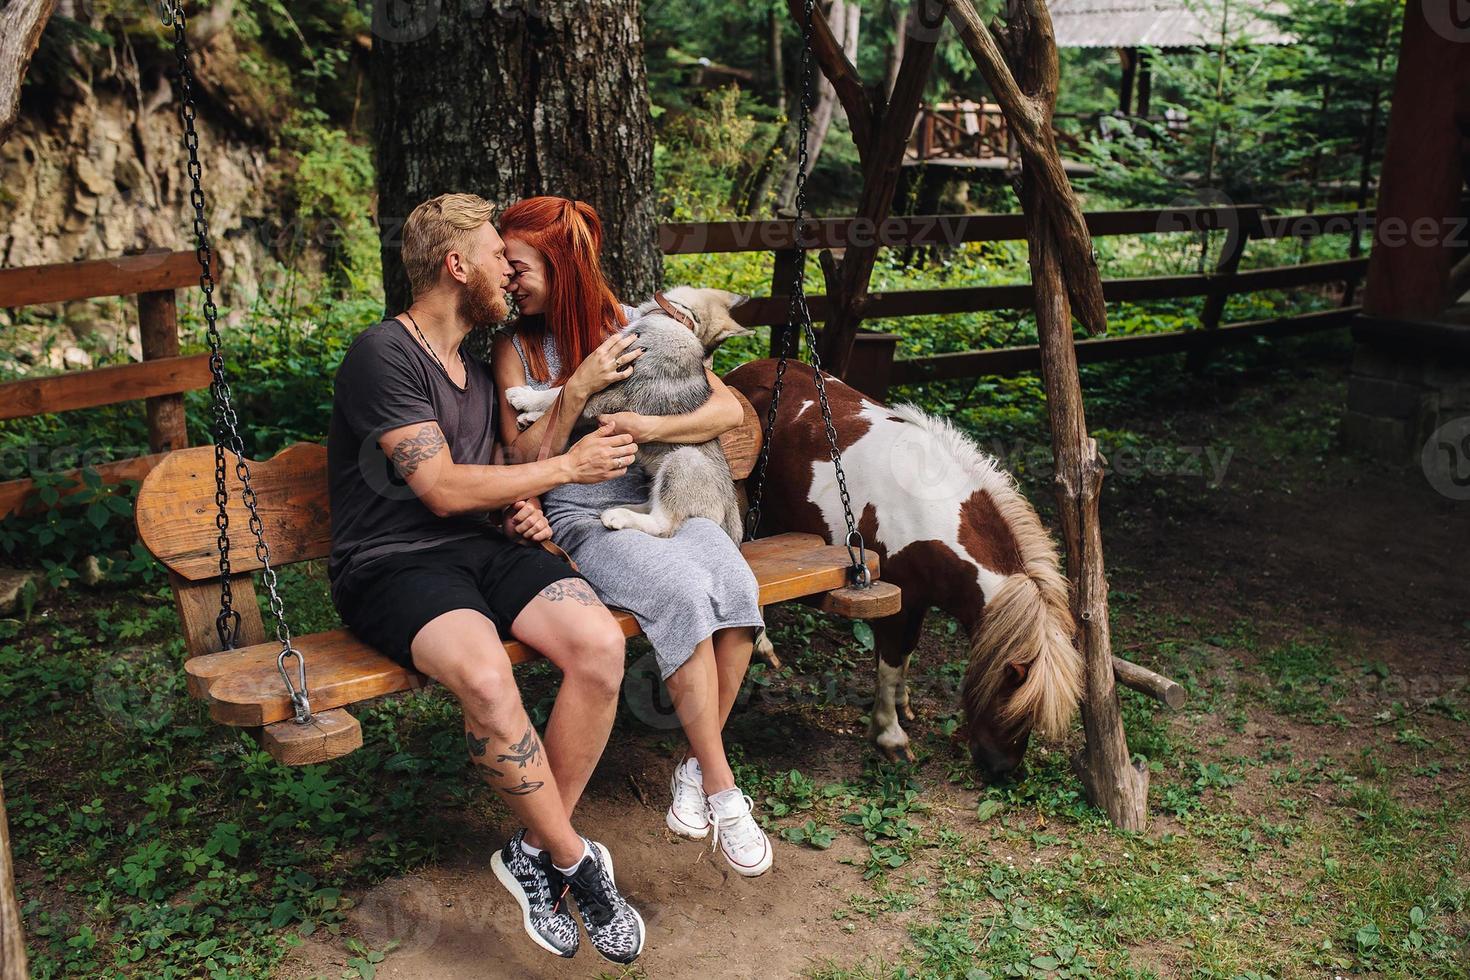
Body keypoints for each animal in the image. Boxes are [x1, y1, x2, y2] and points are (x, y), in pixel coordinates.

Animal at [508, 283, 752, 543]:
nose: (710, 366)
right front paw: (530, 416)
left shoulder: (605, 393)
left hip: (683, 459)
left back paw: (619, 516)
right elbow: (566, 403)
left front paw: (523, 397)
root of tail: (732, 520)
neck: (680, 320)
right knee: (653, 501)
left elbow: (560, 394)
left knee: (663, 524)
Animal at [729, 357, 1087, 775]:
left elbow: (907, 654)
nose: (1001, 771)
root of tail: (742, 372)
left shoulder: (917, 602)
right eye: (1013, 707)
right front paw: (890, 737)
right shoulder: (892, 607)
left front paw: (903, 704)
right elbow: (889, 663)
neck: (924, 507)